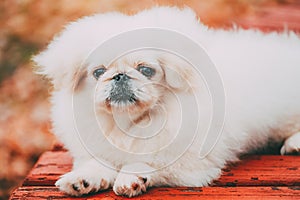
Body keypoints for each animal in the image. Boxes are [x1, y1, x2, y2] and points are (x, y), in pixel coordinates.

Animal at [32, 7, 300, 198]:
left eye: (146, 70)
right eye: (99, 72)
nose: (119, 76)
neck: (130, 124)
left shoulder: (190, 164)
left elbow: (152, 162)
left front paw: (132, 177)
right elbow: (97, 164)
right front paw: (82, 179)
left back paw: (294, 143)